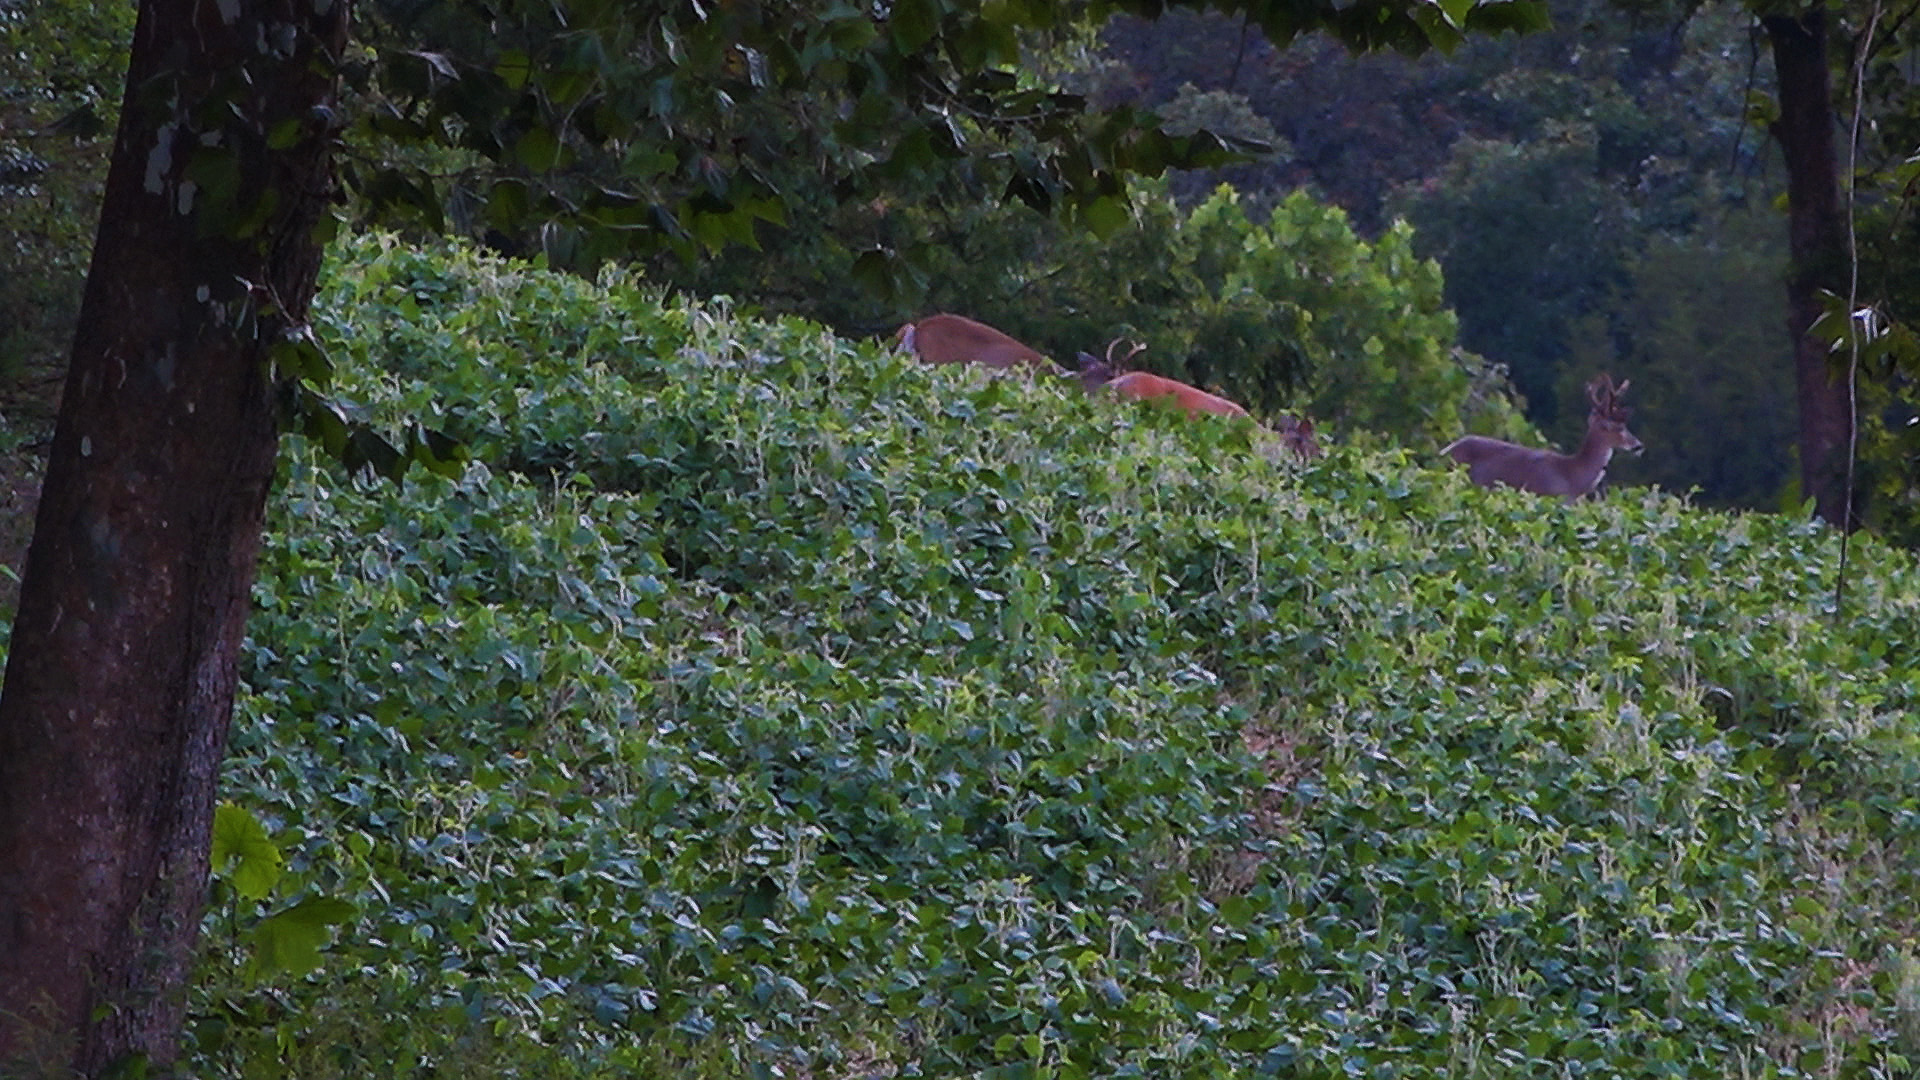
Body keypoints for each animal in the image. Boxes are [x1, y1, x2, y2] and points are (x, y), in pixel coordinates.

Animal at [1443, 372, 1643, 499]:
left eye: (1625, 425)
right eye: (1615, 426)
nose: (1638, 445)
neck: (1572, 477)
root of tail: (1445, 452)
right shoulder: (1546, 496)